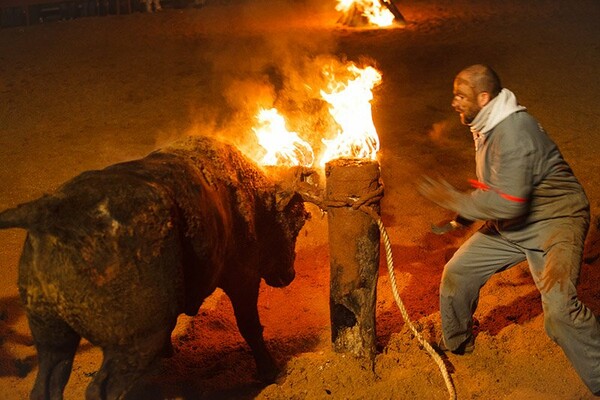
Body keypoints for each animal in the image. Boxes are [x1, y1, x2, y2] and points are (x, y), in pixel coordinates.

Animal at [0, 136, 310, 398]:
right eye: (294, 223)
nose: (289, 275)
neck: (246, 197)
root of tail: (47, 214)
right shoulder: (243, 279)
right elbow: (250, 327)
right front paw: (270, 372)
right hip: (133, 343)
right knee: (101, 390)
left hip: (52, 338)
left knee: (46, 385)